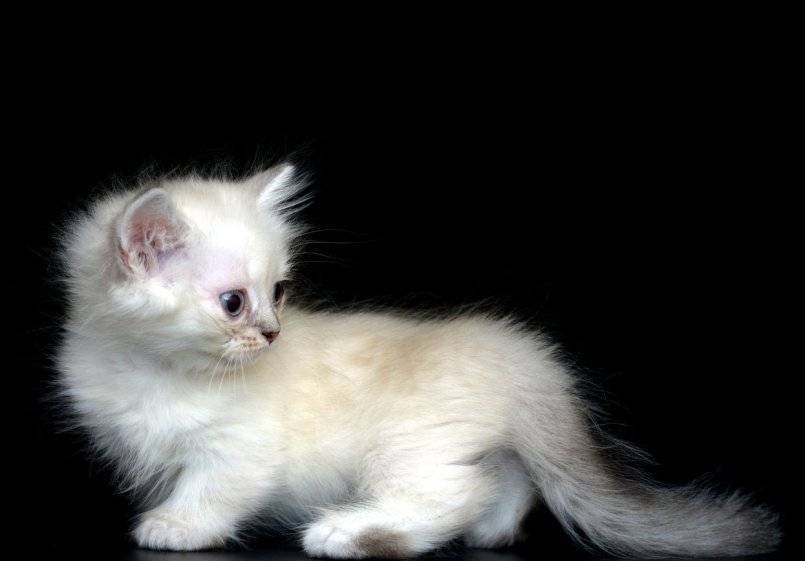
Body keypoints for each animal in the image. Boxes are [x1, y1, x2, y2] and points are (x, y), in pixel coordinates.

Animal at [55, 163, 780, 558]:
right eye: (234, 302)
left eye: (278, 292)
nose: (271, 333)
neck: (154, 371)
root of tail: (524, 355)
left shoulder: (238, 451)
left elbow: (209, 494)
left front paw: (175, 526)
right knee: (502, 483)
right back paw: (491, 531)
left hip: (406, 444)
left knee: (450, 493)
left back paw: (349, 533)